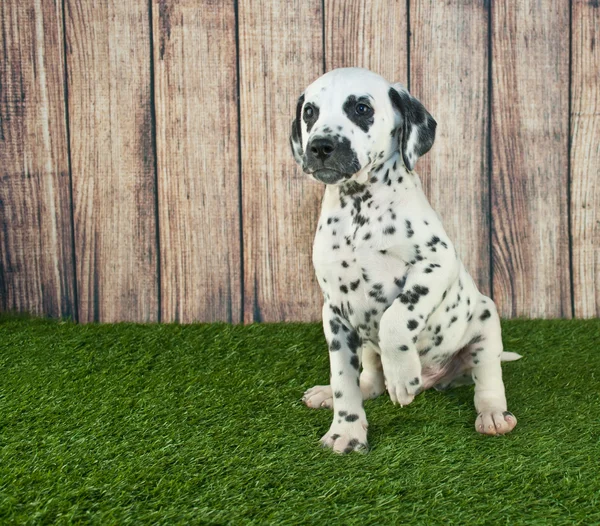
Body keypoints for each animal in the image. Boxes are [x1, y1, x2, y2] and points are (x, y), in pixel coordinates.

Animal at [290, 68, 520, 456]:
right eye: (310, 112)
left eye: (362, 108)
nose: (320, 146)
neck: (360, 210)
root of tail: (436, 379)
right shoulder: (335, 314)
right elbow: (343, 381)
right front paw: (346, 431)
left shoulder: (435, 266)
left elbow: (396, 317)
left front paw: (401, 372)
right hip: (365, 348)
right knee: (369, 381)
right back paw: (331, 394)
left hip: (485, 325)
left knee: (488, 378)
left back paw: (492, 415)